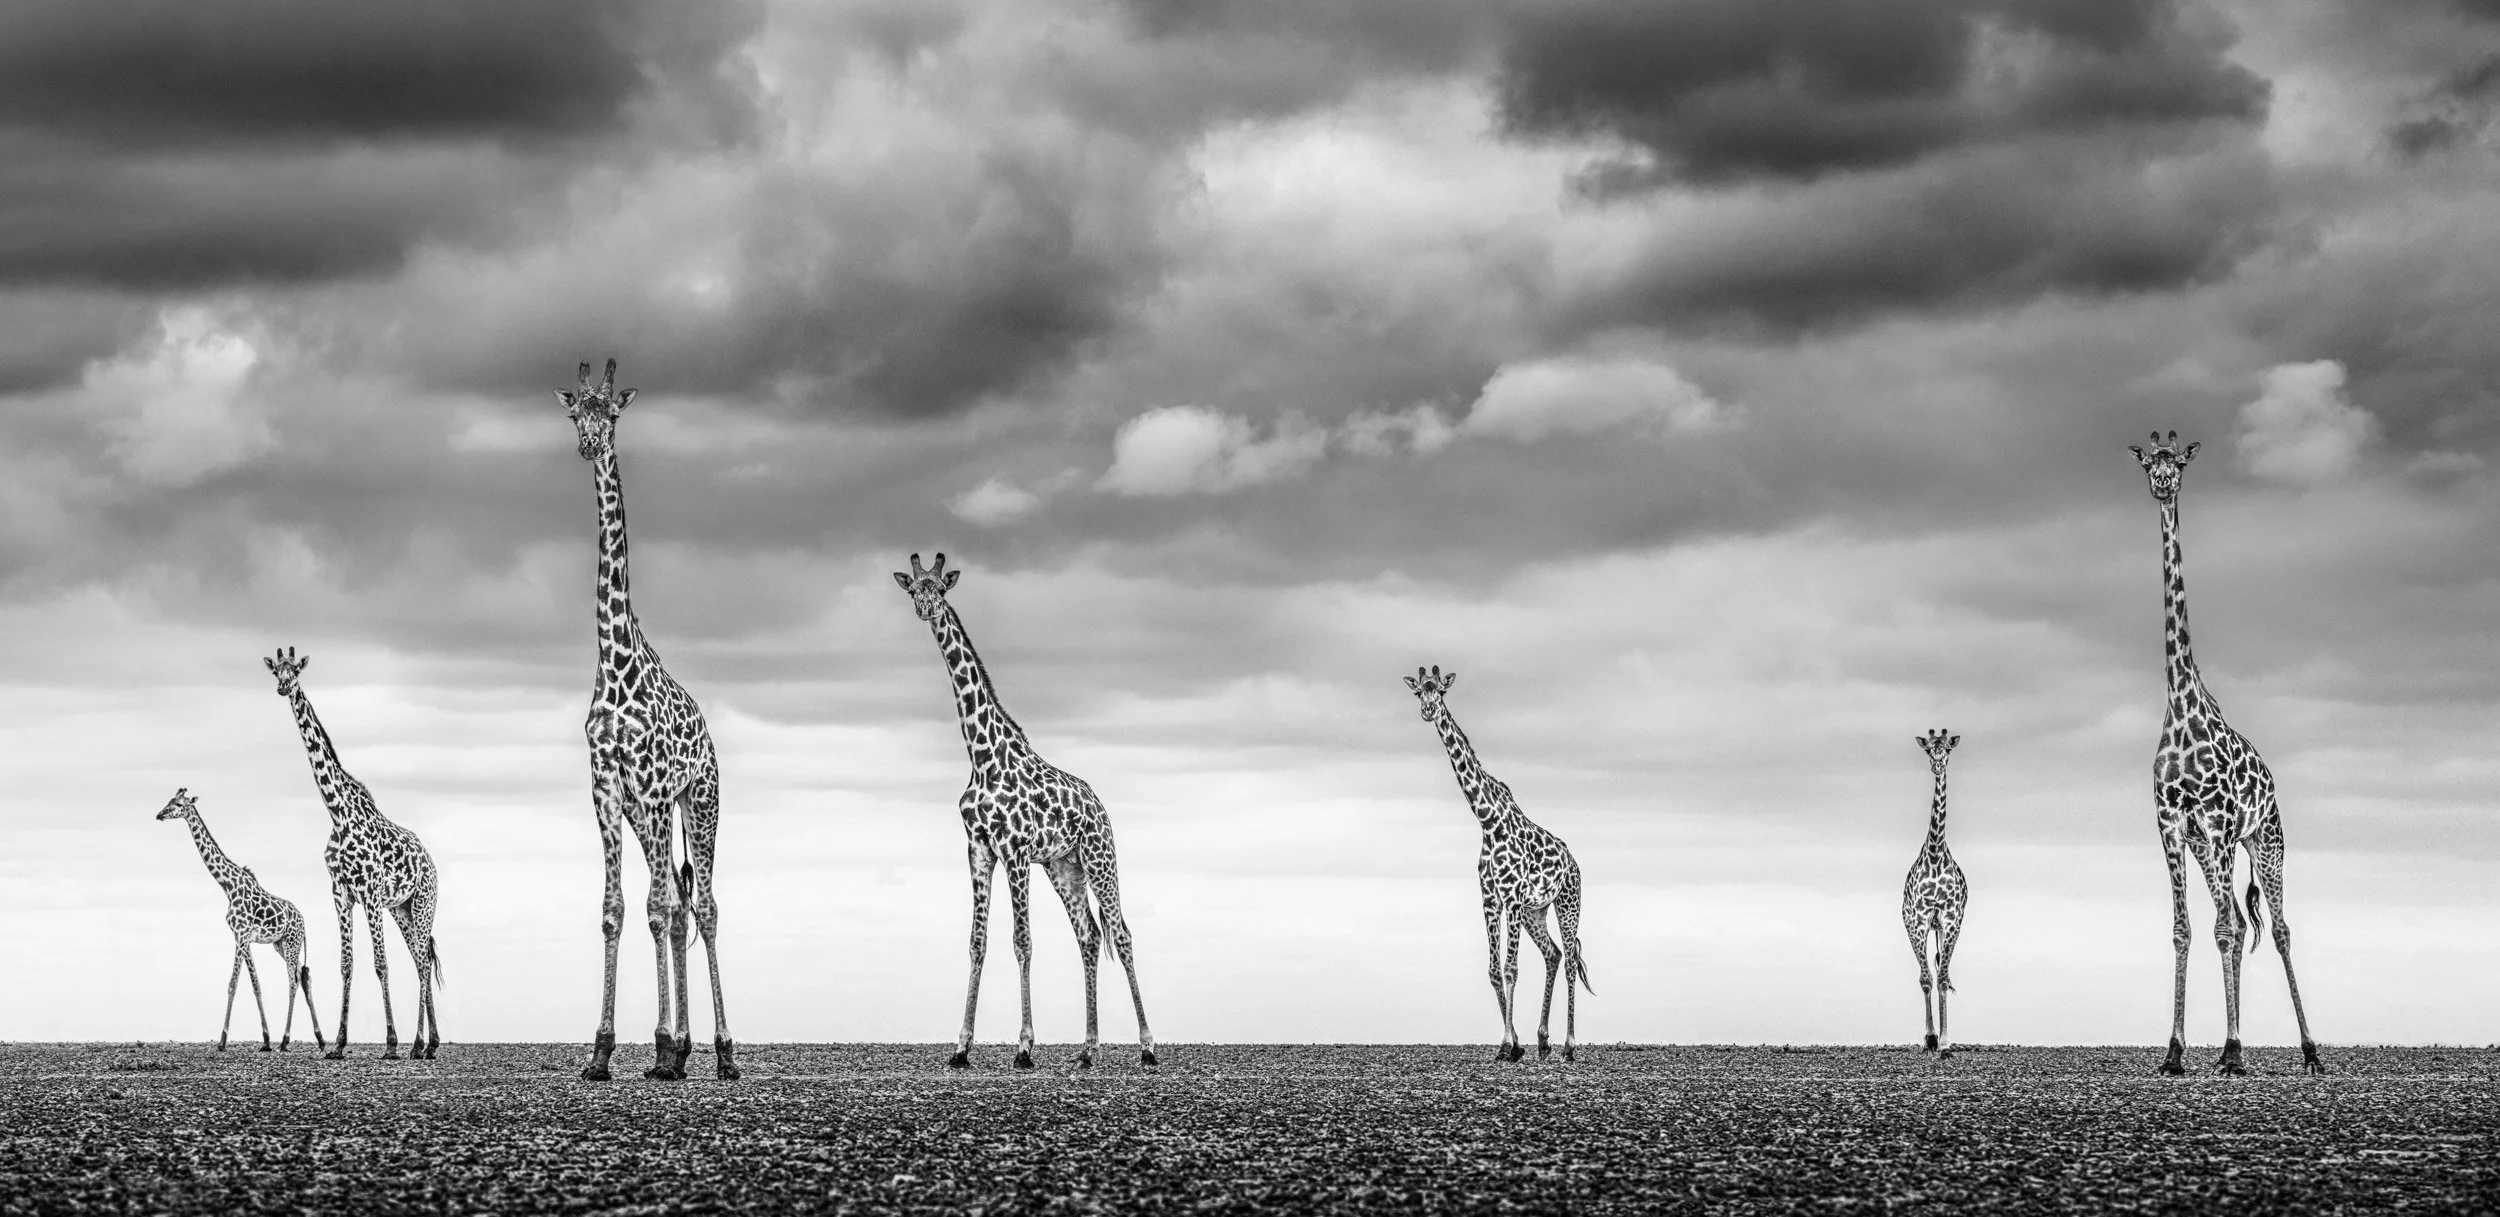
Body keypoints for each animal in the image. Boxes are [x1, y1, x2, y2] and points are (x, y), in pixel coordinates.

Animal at [157, 787, 328, 1054]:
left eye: (177, 804)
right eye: (169, 800)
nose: (159, 815)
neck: (228, 886)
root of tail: (303, 922)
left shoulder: (240, 935)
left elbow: (233, 983)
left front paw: (222, 1041)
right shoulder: (243, 938)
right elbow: (255, 983)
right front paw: (265, 1040)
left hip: (291, 942)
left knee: (292, 980)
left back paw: (285, 1040)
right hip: (281, 944)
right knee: (304, 977)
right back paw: (319, 1039)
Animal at [266, 648, 444, 1060]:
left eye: (295, 672)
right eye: (275, 672)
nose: (283, 688)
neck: (337, 812)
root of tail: (431, 861)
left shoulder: (371, 892)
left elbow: (380, 964)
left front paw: (391, 1044)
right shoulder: (341, 893)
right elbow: (346, 965)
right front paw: (337, 1044)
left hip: (423, 902)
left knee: (422, 963)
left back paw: (415, 1045)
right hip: (402, 909)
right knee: (420, 959)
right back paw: (428, 1044)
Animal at [892, 552, 1157, 1070]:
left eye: (941, 589)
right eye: (913, 588)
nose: (925, 610)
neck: (981, 756)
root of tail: (1100, 806)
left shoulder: (1014, 850)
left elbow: (1022, 940)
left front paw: (1025, 1047)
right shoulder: (979, 848)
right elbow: (977, 941)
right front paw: (960, 1048)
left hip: (1100, 857)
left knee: (1122, 932)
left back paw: (1148, 1046)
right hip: (1064, 865)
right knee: (1089, 935)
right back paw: (1088, 1050)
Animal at [1404, 665, 1592, 1063]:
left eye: (1440, 691)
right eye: (1417, 693)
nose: (1428, 710)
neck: (1488, 821)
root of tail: (1575, 863)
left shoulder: (1513, 897)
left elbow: (1511, 968)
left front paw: (1507, 1045)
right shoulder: (1491, 899)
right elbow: (1493, 970)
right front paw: (1514, 1044)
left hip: (1568, 902)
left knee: (1570, 960)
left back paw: (1569, 1046)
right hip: (1538, 911)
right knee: (1553, 954)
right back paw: (1543, 1041)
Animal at [2130, 430, 2325, 1076]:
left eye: (2179, 464)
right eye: (2148, 462)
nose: (2162, 484)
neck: (2179, 704)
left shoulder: (2216, 824)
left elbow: (2221, 929)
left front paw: (2236, 1051)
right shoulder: (2172, 825)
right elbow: (2185, 929)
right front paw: (2175, 1052)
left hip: (2264, 837)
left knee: (2278, 927)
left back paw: (2308, 1050)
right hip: (2211, 846)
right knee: (2239, 921)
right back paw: (2226, 1044)